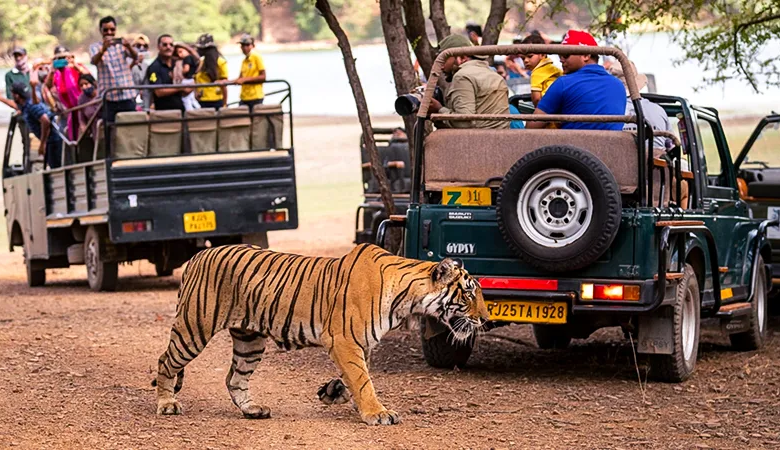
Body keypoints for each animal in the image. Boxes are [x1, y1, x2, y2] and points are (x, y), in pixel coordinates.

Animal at [154, 243, 488, 426]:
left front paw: (334, 392)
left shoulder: (361, 344)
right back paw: (167, 404)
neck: (408, 299)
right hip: (194, 328)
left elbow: (357, 377)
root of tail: (198, 255)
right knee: (165, 361)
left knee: (234, 378)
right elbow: (363, 379)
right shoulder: (344, 340)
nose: (485, 319)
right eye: (469, 294)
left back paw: (252, 410)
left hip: (250, 340)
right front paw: (377, 412)